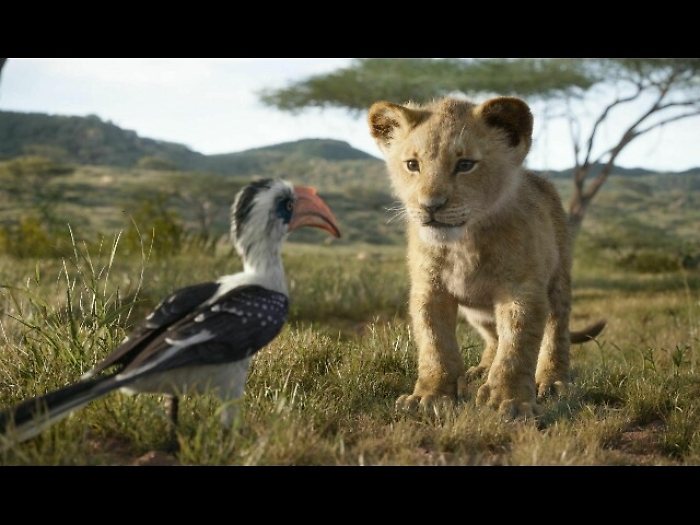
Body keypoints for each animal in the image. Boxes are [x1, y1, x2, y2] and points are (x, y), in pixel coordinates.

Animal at [367, 95, 605, 420]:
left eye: (465, 164)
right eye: (412, 165)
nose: (430, 206)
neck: (463, 243)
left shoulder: (521, 290)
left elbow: (517, 346)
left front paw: (510, 401)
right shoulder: (429, 289)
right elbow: (434, 344)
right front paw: (430, 396)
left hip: (559, 280)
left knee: (556, 331)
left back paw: (552, 381)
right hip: (478, 311)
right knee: (493, 337)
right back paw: (480, 371)